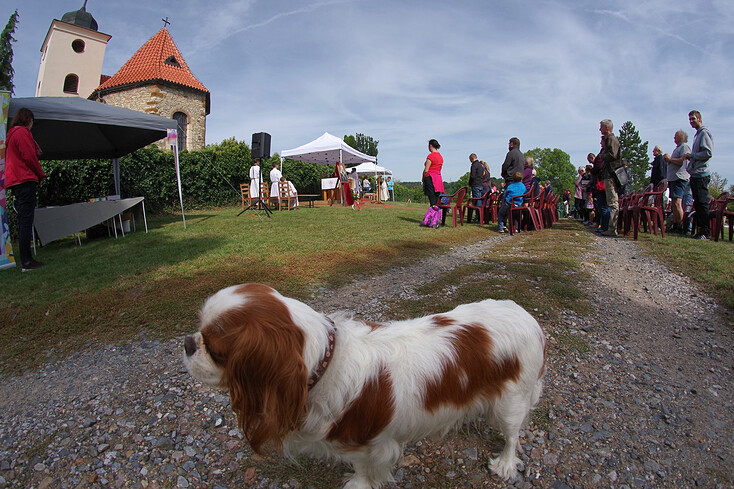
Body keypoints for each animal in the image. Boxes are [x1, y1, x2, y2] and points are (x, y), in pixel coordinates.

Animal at [184, 282, 548, 488]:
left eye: (216, 350)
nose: (188, 344)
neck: (325, 361)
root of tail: (526, 315)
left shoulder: (367, 445)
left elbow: (363, 469)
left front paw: (357, 483)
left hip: (512, 400)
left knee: (513, 435)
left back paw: (504, 464)